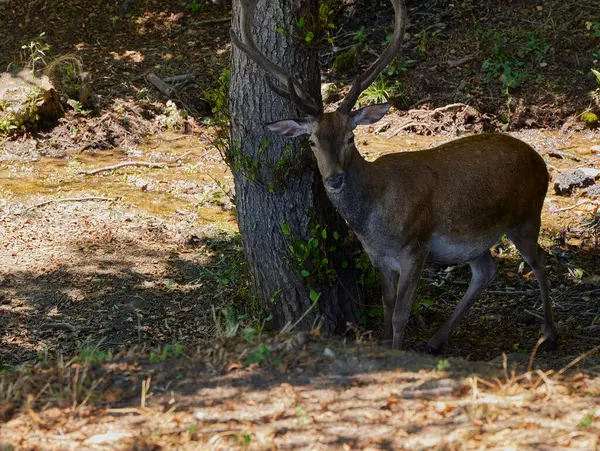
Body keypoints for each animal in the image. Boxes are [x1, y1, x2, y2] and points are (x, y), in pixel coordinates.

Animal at [232, 0, 560, 354]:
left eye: (351, 137)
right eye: (312, 141)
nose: (334, 179)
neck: (375, 222)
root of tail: (539, 160)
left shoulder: (416, 248)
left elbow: (402, 314)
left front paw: (398, 351)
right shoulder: (380, 259)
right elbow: (388, 311)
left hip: (527, 215)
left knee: (540, 262)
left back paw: (548, 335)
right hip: (475, 238)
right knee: (486, 270)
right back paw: (436, 341)